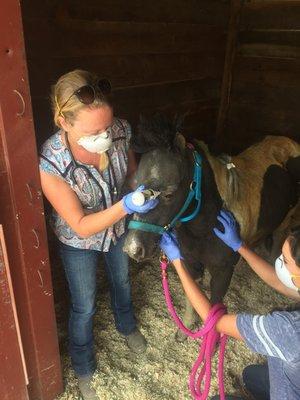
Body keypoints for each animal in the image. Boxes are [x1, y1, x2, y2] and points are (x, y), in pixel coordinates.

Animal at [123, 113, 298, 332]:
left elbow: (215, 308)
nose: (133, 249)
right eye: (134, 185)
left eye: (169, 194)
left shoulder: (223, 272)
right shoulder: (191, 264)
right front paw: (186, 328)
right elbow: (192, 297)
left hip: (287, 220)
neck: (207, 225)